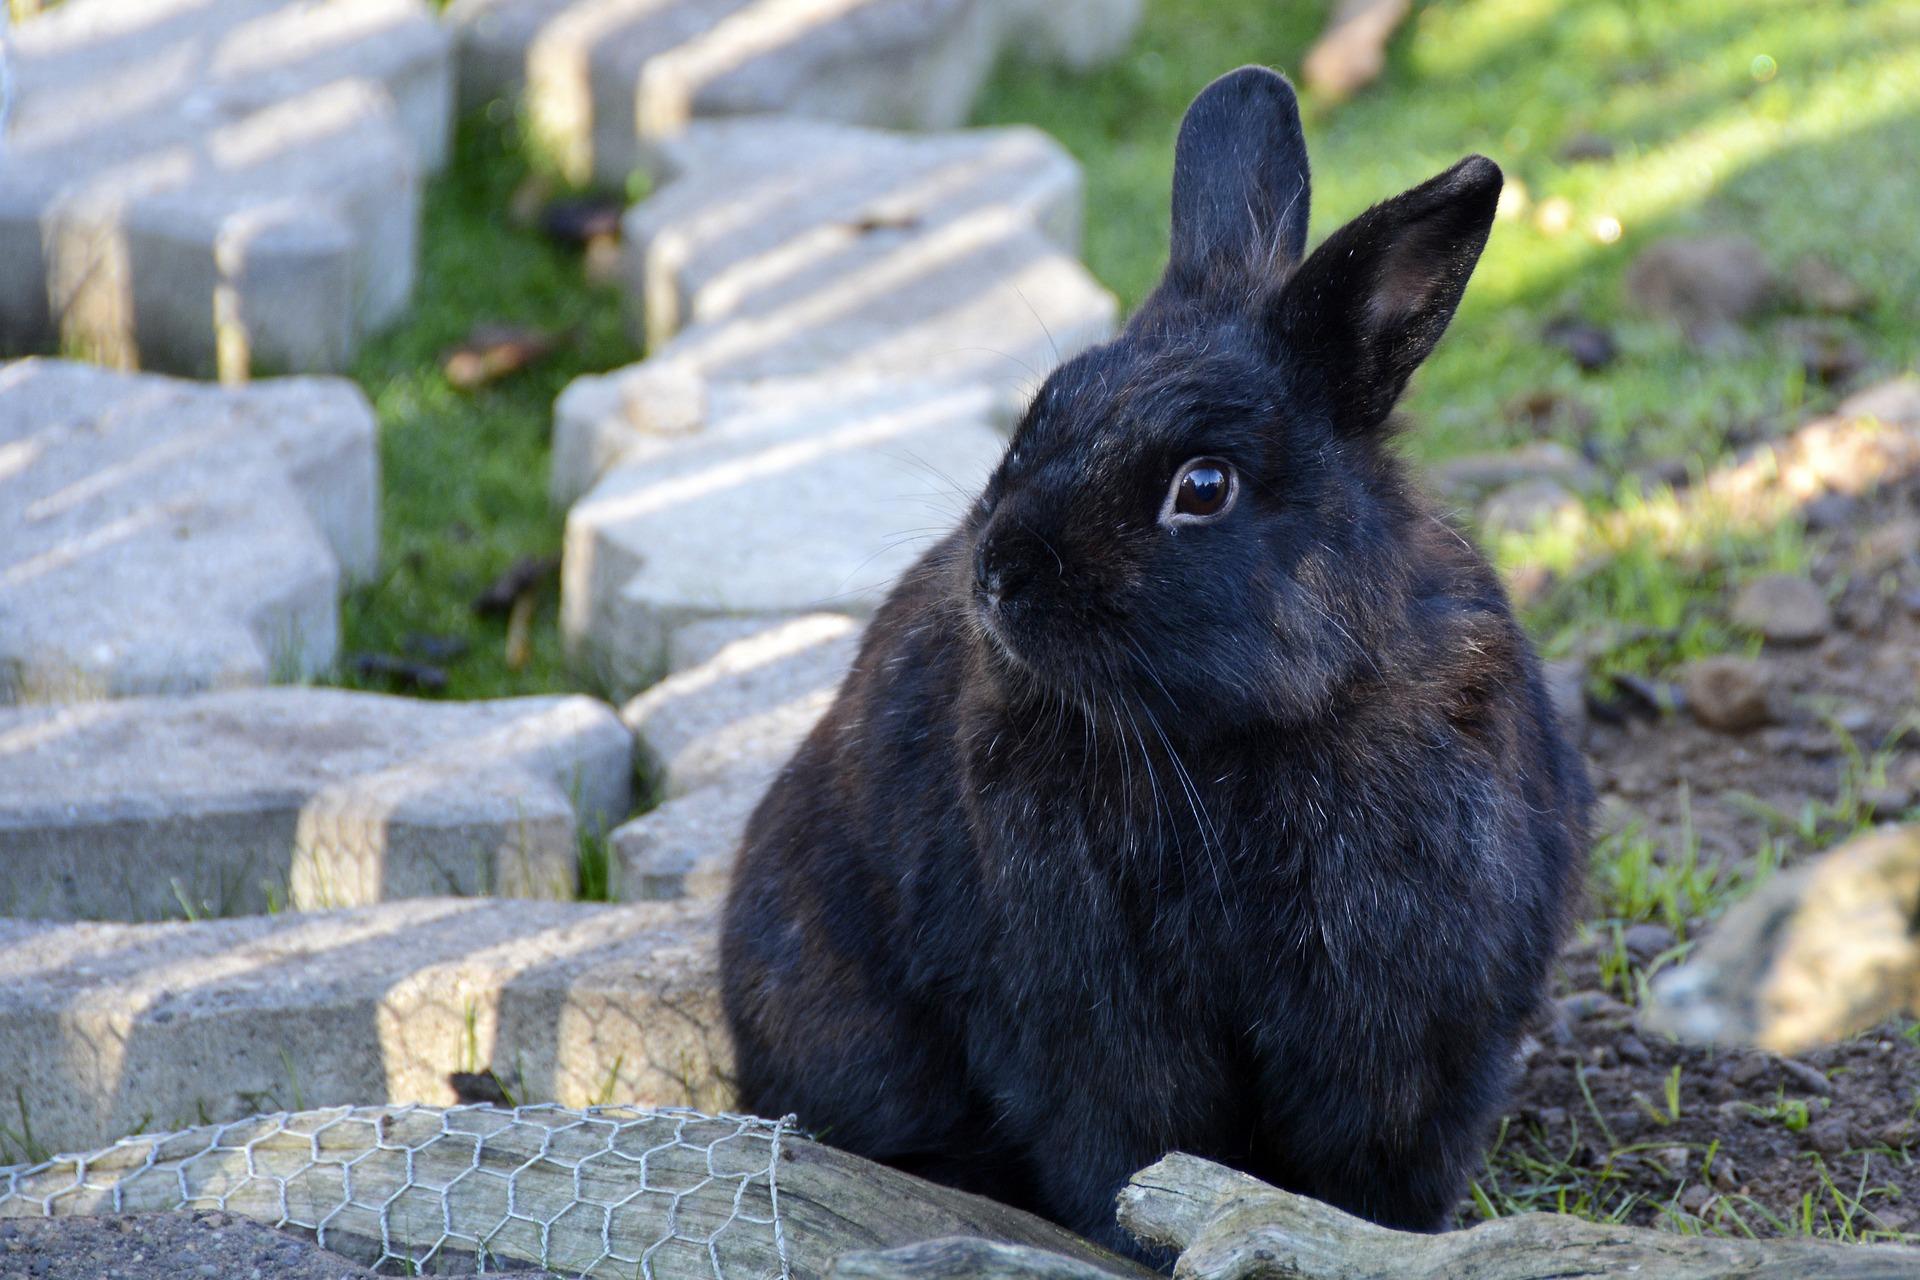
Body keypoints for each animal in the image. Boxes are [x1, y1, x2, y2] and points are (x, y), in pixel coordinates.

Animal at [721, 65, 1589, 1258]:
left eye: (1203, 487)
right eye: (1039, 413)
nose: (1000, 572)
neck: (1236, 737)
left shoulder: (1412, 1023)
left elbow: (1372, 1164)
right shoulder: (1082, 1016)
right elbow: (1128, 1140)